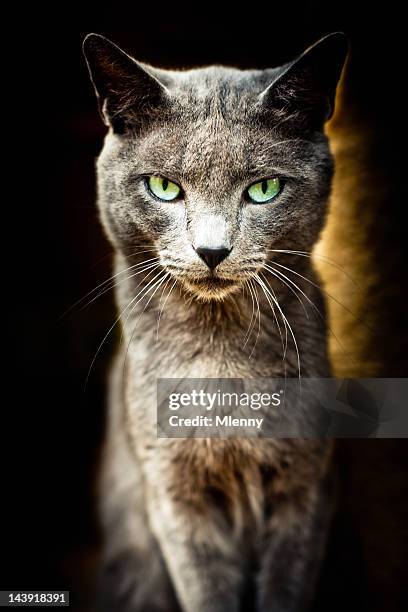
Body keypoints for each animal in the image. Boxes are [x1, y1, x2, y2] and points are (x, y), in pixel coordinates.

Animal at [83, 32, 348, 612]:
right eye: (164, 186)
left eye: (264, 189)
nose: (211, 250)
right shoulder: (172, 492)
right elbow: (205, 587)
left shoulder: (307, 485)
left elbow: (286, 583)